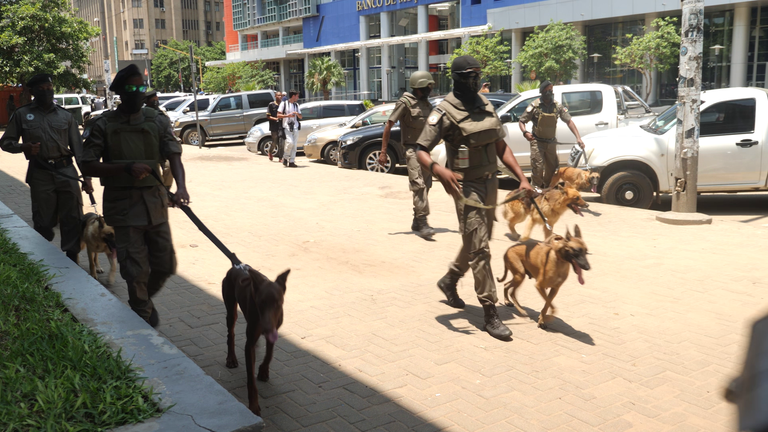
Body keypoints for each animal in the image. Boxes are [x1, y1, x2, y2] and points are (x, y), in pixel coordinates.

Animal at [225, 264, 292, 416]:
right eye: (260, 302)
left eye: (277, 303)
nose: (266, 328)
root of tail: (236, 265)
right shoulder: (249, 343)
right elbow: (251, 378)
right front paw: (254, 405)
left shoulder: (274, 331)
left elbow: (269, 354)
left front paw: (263, 371)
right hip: (231, 307)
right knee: (231, 333)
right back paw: (231, 358)